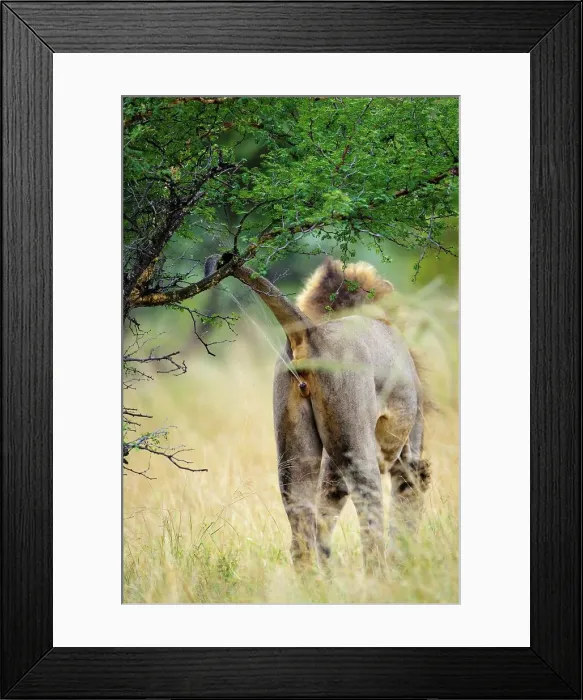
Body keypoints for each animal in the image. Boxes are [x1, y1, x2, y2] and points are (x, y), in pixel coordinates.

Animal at [205, 254, 431, 570]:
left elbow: (326, 510)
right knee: (370, 525)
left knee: (301, 533)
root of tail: (311, 333)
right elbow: (406, 505)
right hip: (356, 446)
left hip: (294, 450)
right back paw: (378, 576)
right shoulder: (410, 442)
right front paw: (405, 563)